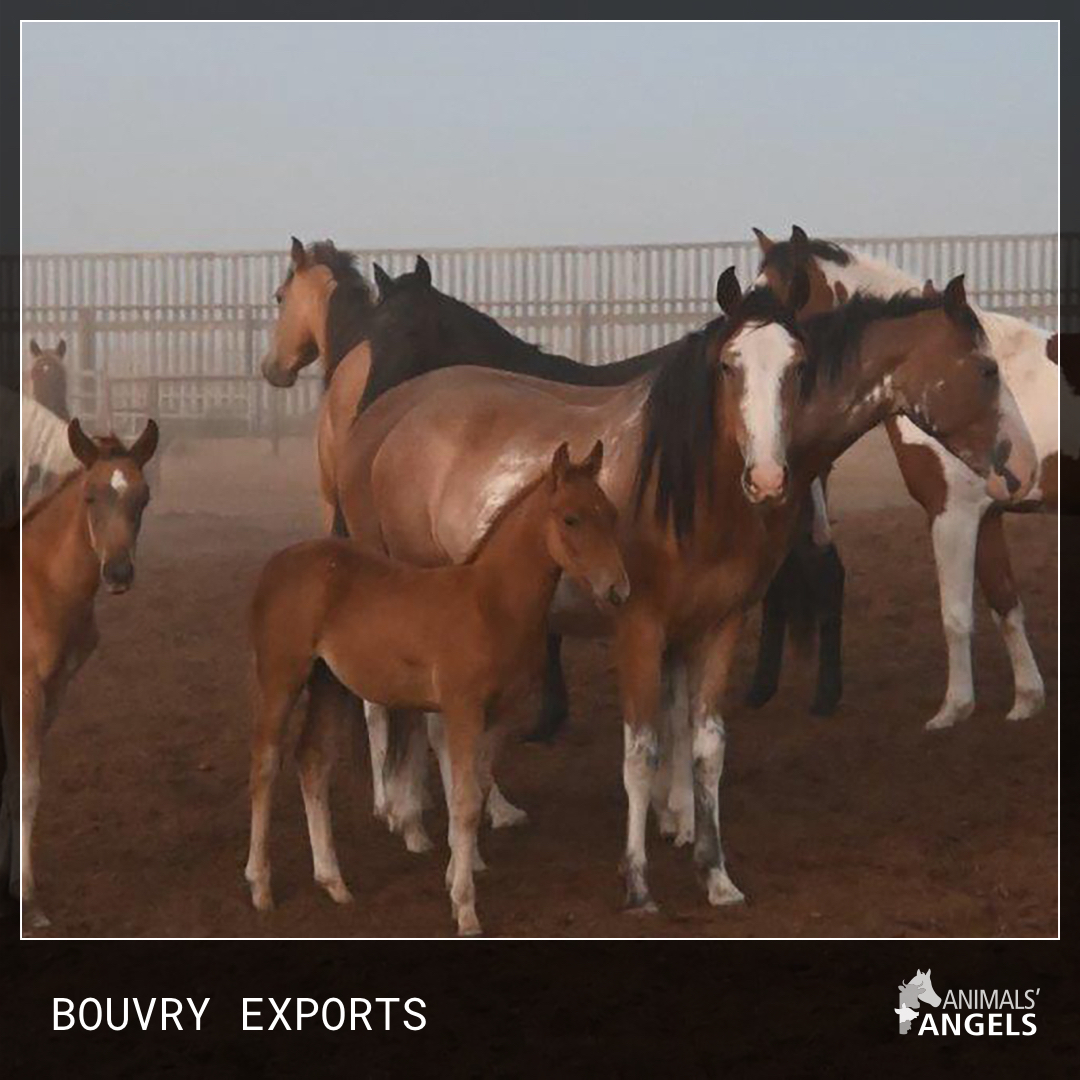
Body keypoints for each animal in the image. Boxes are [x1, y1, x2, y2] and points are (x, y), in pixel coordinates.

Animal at [19, 418, 159, 927]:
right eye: (90, 497)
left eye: (143, 497)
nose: (117, 572)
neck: (37, 584)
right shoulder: (26, 690)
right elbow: (28, 786)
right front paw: (28, 900)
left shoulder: (55, 690)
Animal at [245, 441, 627, 935]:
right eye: (571, 519)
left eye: (611, 514)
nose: (618, 589)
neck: (491, 604)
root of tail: (276, 564)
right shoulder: (463, 709)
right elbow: (463, 802)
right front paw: (465, 908)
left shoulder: (499, 715)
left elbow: (477, 791)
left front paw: (454, 876)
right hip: (281, 677)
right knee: (265, 764)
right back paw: (260, 886)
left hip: (329, 683)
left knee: (312, 762)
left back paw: (334, 882)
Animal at [328, 267, 1036, 912]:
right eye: (986, 370)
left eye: (799, 367)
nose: (1025, 468)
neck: (691, 491)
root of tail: (388, 423)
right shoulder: (640, 631)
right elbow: (641, 751)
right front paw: (639, 879)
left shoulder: (715, 626)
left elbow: (703, 745)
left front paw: (711, 866)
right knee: (417, 720)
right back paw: (428, 826)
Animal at [754, 226, 1057, 728]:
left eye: (785, 294)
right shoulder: (986, 515)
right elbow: (1005, 605)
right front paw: (1027, 701)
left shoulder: (951, 515)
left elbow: (956, 615)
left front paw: (953, 709)